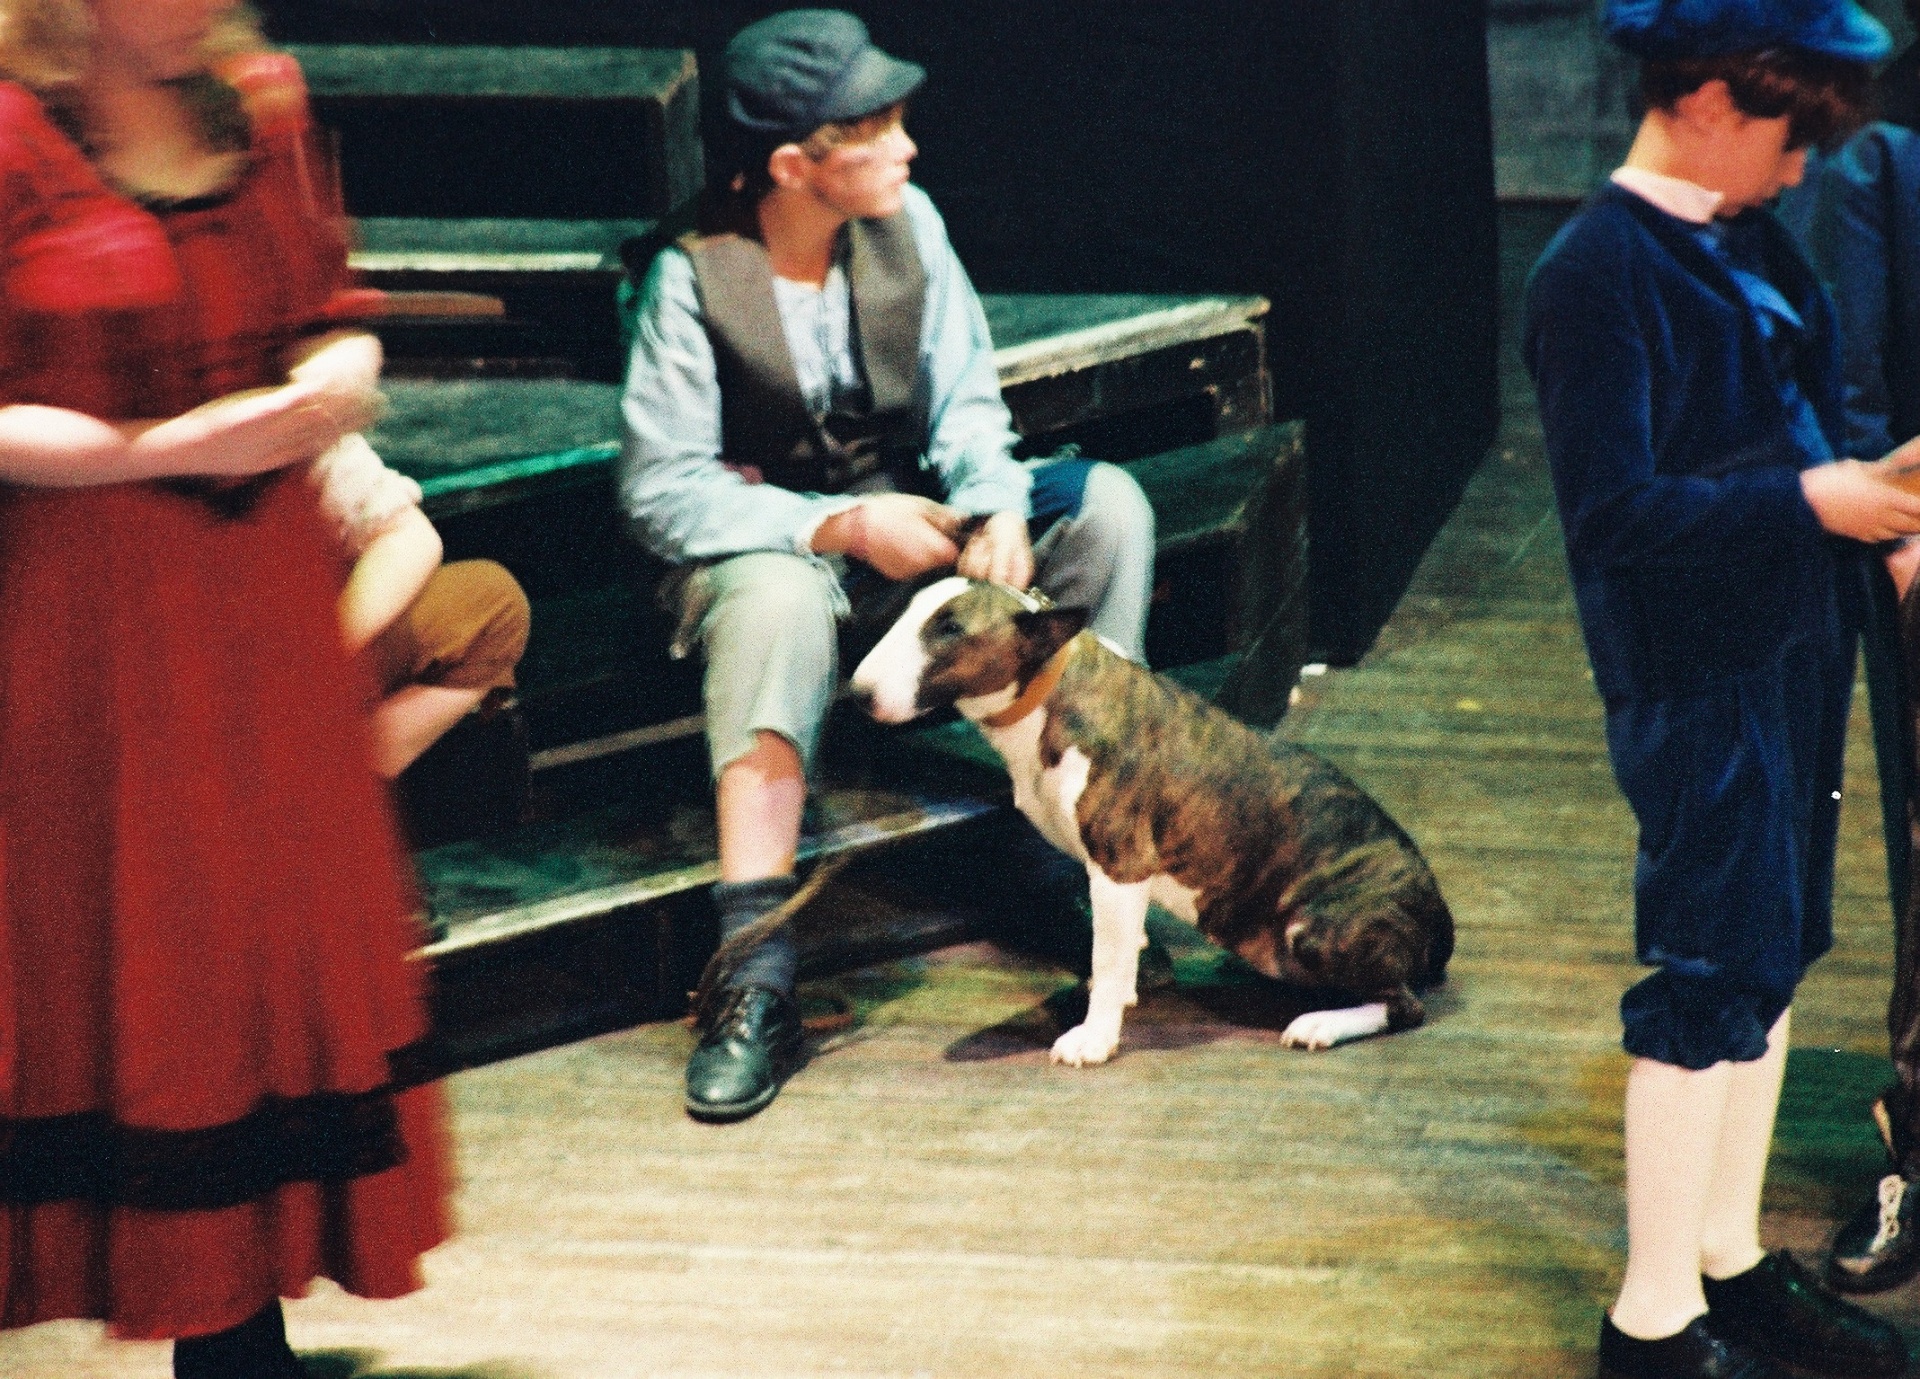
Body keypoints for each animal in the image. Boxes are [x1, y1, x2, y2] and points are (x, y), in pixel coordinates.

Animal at [849, 577, 1454, 1066]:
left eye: (951, 628)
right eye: (908, 610)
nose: (856, 694)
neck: (1049, 689)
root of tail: (1439, 914)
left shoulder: (1121, 865)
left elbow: (1111, 954)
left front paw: (1095, 1037)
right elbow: (1115, 951)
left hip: (1317, 926)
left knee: (1405, 1006)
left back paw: (1322, 1024)